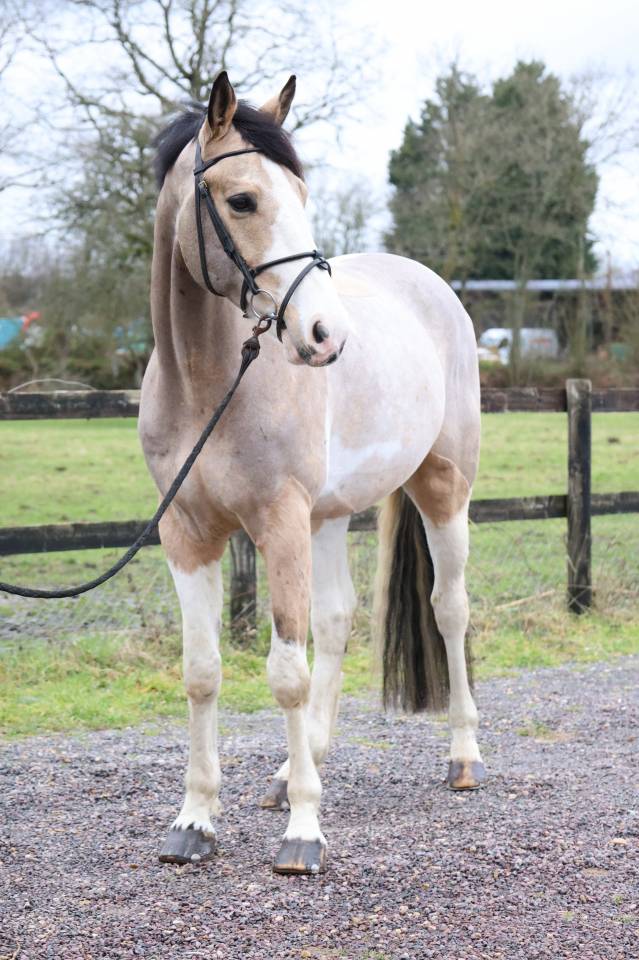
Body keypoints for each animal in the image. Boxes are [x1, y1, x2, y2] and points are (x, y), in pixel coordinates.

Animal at [139, 70, 483, 876]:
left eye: (299, 191)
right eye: (242, 200)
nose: (325, 336)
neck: (206, 386)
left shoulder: (279, 524)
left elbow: (285, 675)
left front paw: (303, 833)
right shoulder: (186, 534)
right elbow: (202, 672)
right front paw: (195, 820)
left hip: (441, 490)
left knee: (448, 609)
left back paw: (462, 756)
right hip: (327, 518)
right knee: (335, 620)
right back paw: (296, 769)